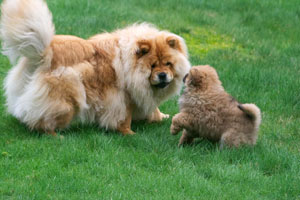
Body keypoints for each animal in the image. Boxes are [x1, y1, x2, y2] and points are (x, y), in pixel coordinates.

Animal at [0, 0, 190, 136]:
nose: (163, 75)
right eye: (152, 66)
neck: (130, 63)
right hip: (66, 100)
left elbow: (153, 110)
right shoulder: (123, 97)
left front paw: (162, 117)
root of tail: (44, 53)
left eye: (168, 64)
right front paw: (130, 134)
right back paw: (55, 135)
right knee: (43, 118)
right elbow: (124, 118)